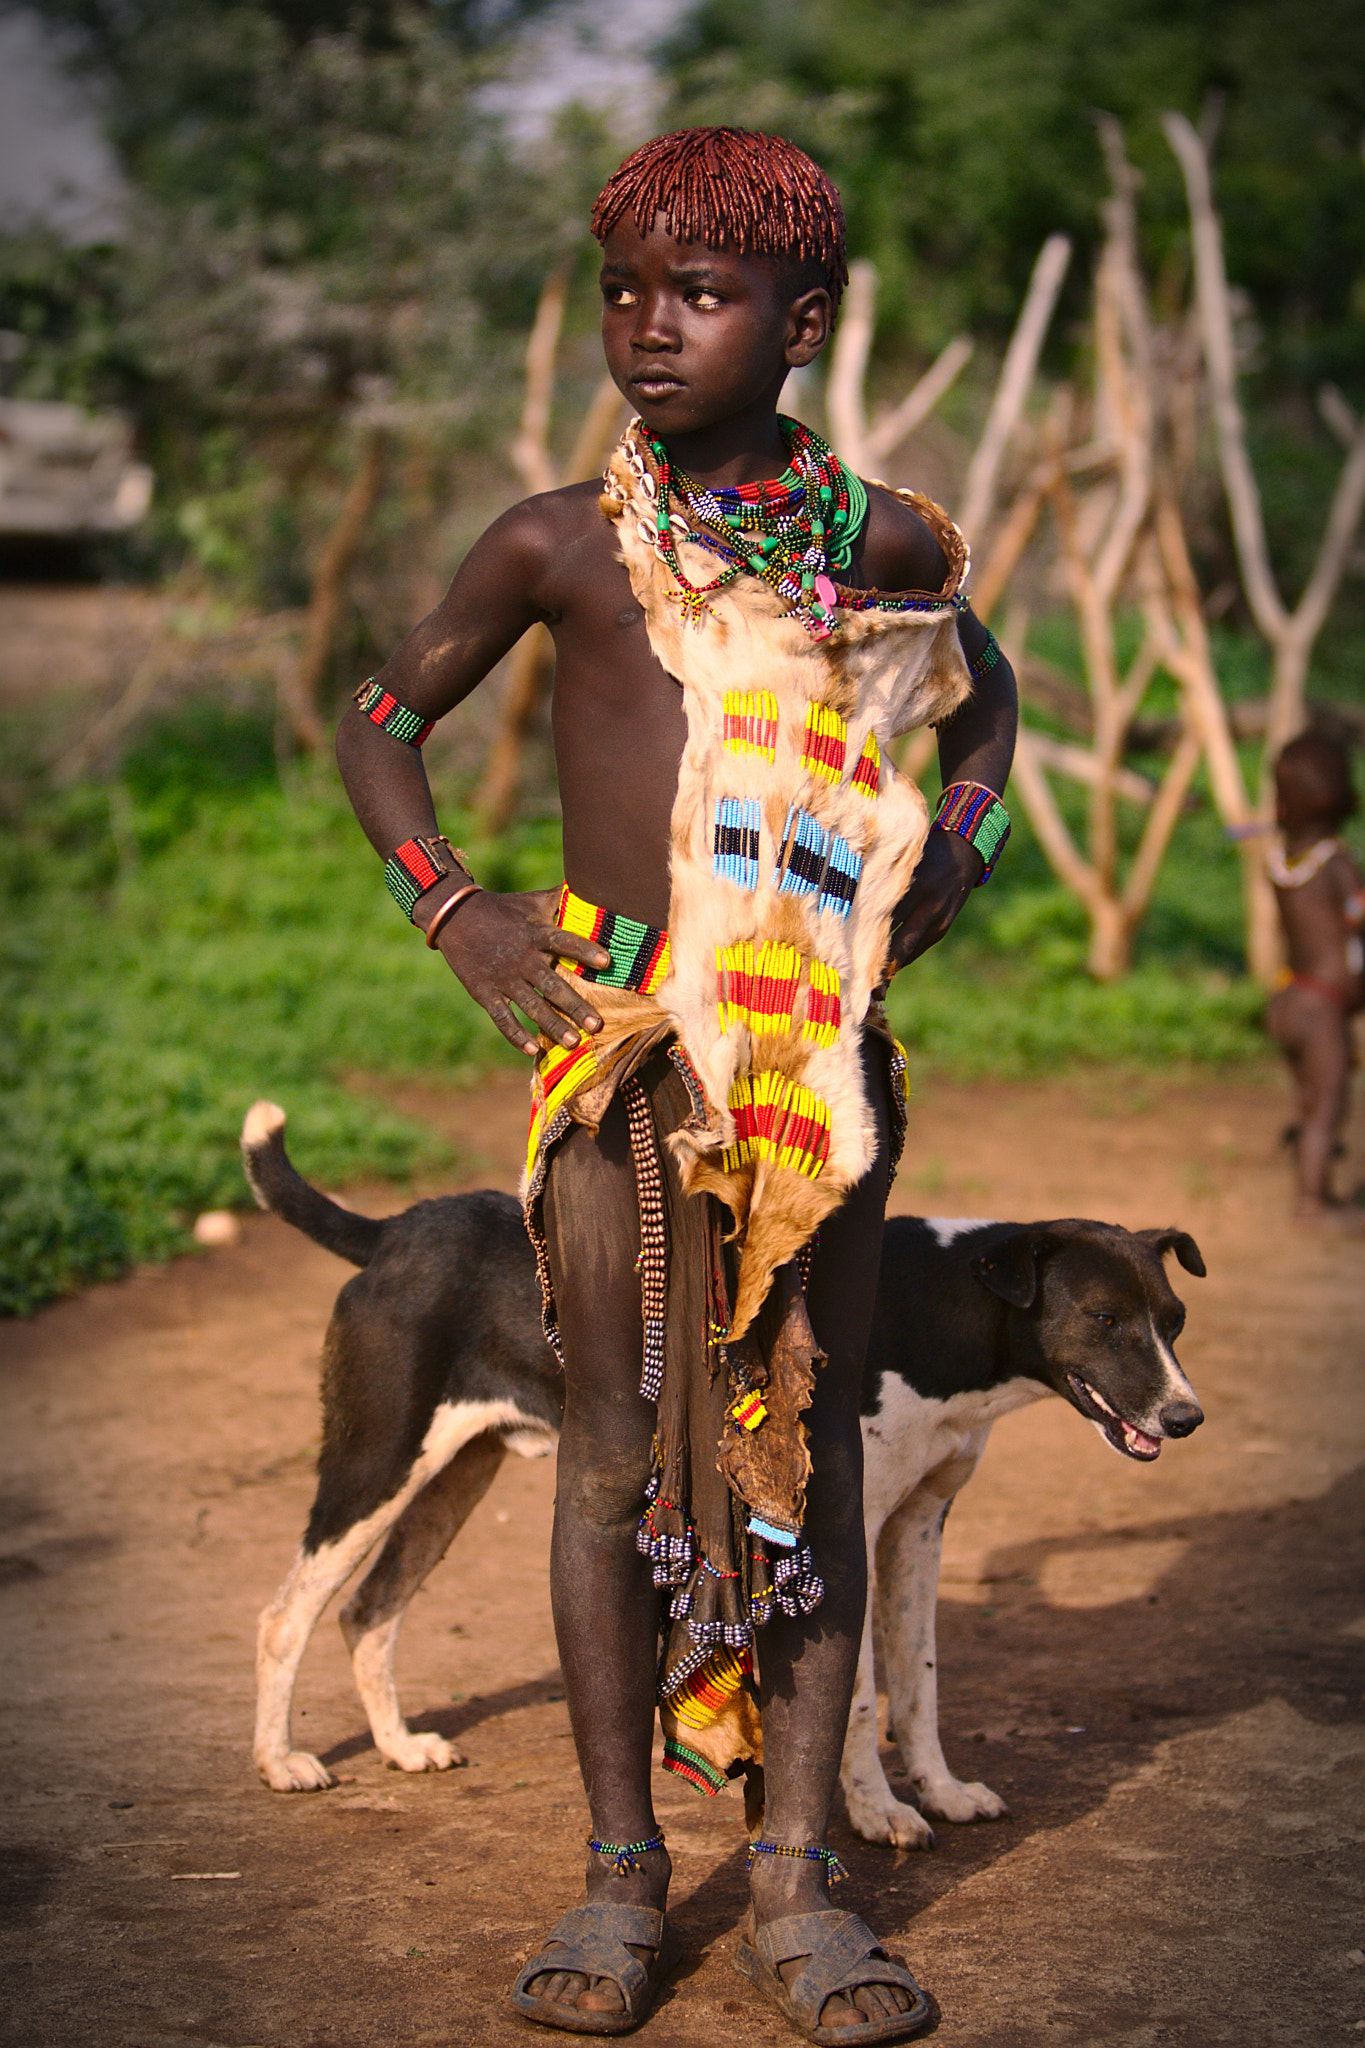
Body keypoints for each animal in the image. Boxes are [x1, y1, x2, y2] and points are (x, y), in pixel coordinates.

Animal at [245, 1097, 1203, 1851]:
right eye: (1104, 1319)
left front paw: (940, 1792)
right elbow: (862, 1698)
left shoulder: (919, 1530)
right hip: (376, 1463)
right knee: (286, 1614)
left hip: (453, 1477)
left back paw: (402, 1747)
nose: (1186, 1418)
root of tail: (390, 1233)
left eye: (1174, 1320)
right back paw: (280, 1762)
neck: (936, 1305)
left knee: (370, 1610)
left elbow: (918, 1682)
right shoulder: (843, 1532)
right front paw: (878, 1814)